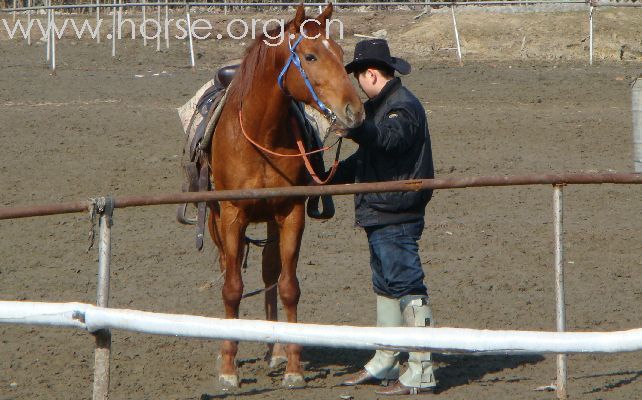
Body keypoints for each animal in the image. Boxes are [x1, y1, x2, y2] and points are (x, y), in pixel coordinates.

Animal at [208, 3, 362, 390]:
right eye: (310, 56)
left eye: (341, 54)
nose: (355, 111)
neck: (260, 134)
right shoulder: (232, 215)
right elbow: (232, 288)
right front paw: (228, 368)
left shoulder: (291, 213)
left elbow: (288, 286)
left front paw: (293, 366)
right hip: (216, 220)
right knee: (228, 269)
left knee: (269, 275)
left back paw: (275, 350)